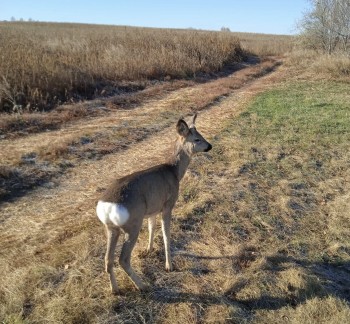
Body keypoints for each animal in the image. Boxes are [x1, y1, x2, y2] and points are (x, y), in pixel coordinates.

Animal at [95, 114, 212, 294]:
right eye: (197, 139)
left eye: (201, 134)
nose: (209, 146)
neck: (174, 172)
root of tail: (105, 207)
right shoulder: (167, 205)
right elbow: (166, 235)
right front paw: (169, 265)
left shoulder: (152, 209)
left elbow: (151, 228)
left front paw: (148, 250)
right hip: (132, 224)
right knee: (123, 259)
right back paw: (142, 285)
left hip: (111, 228)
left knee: (108, 259)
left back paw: (115, 290)